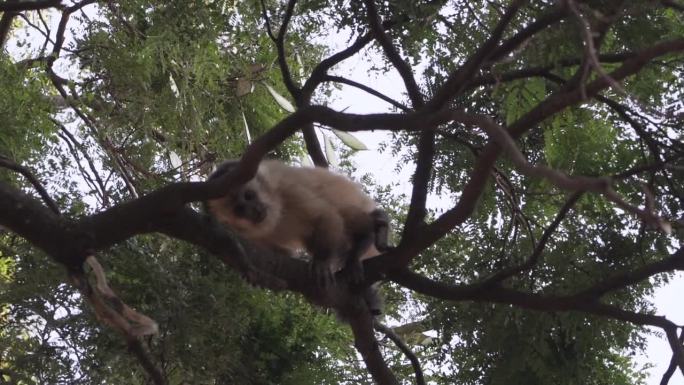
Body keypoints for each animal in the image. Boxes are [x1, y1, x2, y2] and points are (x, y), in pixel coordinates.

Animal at [204, 158, 390, 290]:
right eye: (240, 210)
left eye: (249, 196)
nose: (254, 211)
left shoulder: (289, 189)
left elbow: (326, 214)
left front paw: (322, 261)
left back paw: (367, 237)